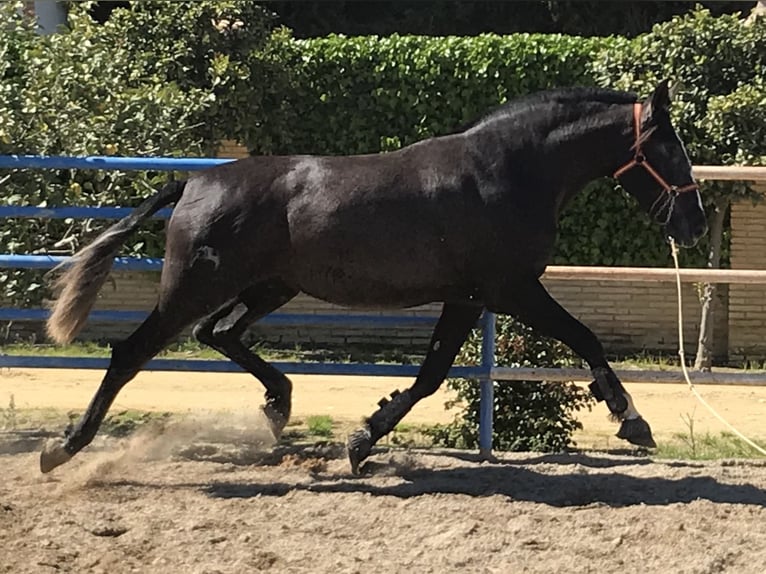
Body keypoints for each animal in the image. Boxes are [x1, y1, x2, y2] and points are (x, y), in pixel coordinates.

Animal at [40, 81, 708, 476]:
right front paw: (633, 420)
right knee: (131, 353)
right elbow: (584, 337)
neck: (506, 171)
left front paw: (361, 440)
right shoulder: (509, 289)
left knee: (218, 334)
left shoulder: (467, 297)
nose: (696, 223)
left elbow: (432, 374)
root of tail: (195, 182)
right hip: (194, 288)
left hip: (270, 286)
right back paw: (62, 449)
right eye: (670, 148)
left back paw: (279, 404)